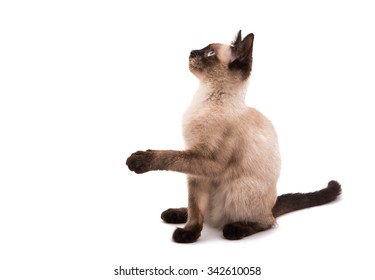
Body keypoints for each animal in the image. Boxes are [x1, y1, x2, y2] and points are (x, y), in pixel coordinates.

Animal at [126, 30, 340, 243]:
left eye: (210, 53)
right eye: (202, 49)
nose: (192, 52)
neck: (204, 98)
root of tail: (271, 206)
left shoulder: (206, 160)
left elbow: (169, 156)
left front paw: (138, 160)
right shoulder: (194, 169)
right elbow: (195, 207)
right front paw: (189, 232)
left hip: (239, 189)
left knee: (267, 222)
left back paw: (236, 229)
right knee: (204, 212)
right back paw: (175, 213)